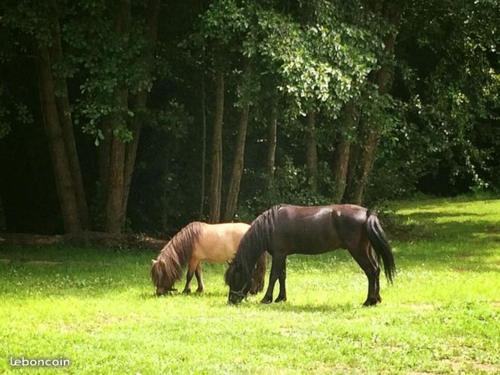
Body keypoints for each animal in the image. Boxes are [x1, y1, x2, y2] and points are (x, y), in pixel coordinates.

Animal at [226, 204, 394, 306]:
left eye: (236, 277)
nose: (231, 301)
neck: (270, 226)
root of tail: (367, 213)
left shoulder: (278, 254)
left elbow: (274, 276)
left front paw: (267, 298)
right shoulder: (283, 255)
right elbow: (282, 276)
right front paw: (281, 298)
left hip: (358, 251)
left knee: (371, 272)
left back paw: (369, 301)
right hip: (366, 249)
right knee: (376, 270)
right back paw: (377, 299)